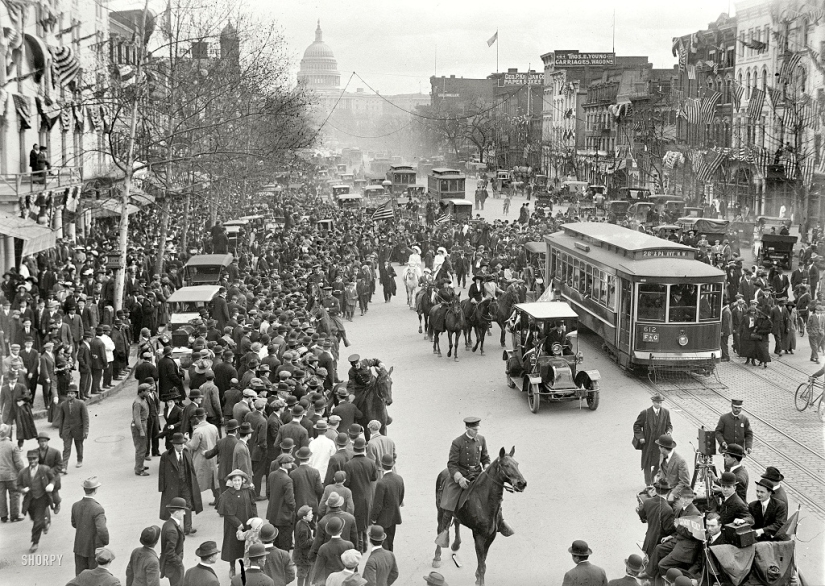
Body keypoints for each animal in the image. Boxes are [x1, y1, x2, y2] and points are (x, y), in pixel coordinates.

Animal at [434, 444, 524, 580]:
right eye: (506, 465)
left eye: (517, 464)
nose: (522, 483)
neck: (484, 500)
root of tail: (443, 472)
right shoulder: (479, 536)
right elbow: (482, 566)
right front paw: (479, 579)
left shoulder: (491, 536)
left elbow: (483, 563)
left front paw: (477, 577)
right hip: (440, 511)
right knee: (441, 528)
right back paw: (437, 556)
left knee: (456, 521)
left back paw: (456, 544)